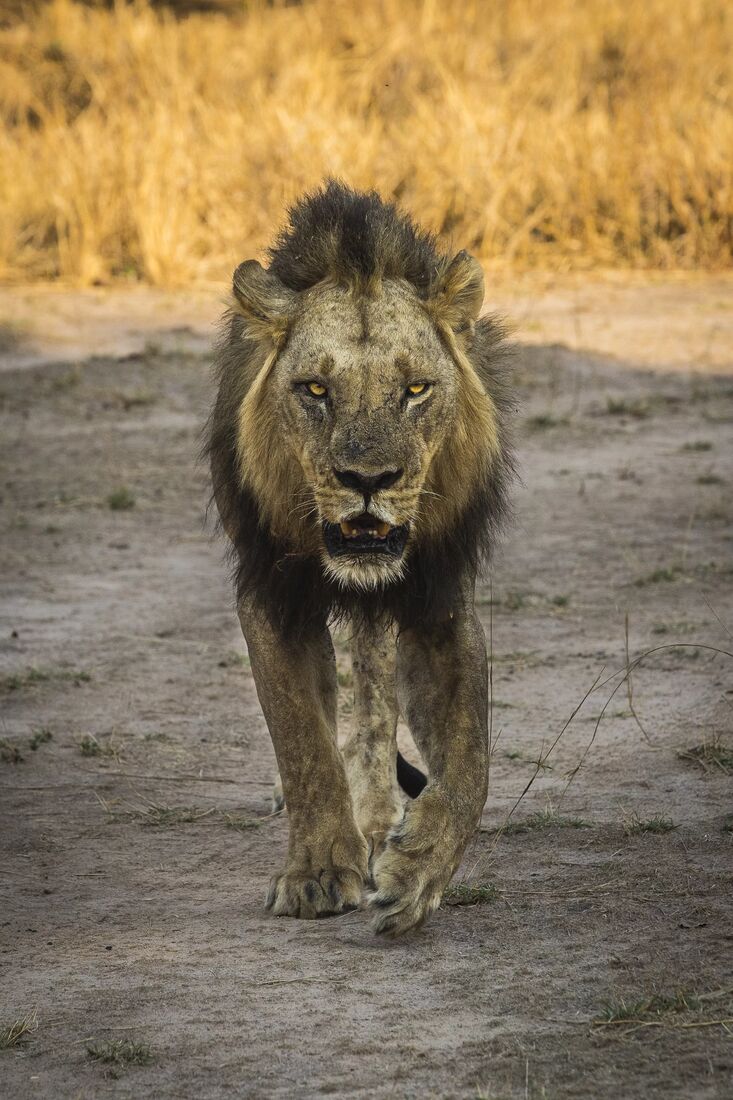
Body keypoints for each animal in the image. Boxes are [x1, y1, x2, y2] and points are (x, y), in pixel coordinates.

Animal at [206, 181, 513, 935]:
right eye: (315, 390)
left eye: (415, 389)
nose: (367, 480)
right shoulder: (271, 594)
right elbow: (302, 742)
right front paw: (316, 871)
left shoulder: (439, 602)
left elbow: (471, 758)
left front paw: (418, 869)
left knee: (376, 698)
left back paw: (380, 820)